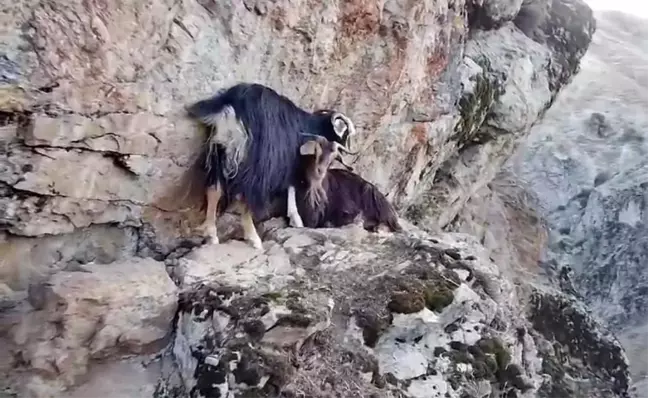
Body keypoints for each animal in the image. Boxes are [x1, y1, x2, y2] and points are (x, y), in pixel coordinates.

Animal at [187, 82, 360, 249]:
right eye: (346, 132)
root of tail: (232, 108)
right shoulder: (288, 162)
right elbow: (291, 187)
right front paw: (296, 220)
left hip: (219, 149)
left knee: (214, 189)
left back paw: (211, 236)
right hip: (254, 160)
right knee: (244, 194)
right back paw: (254, 239)